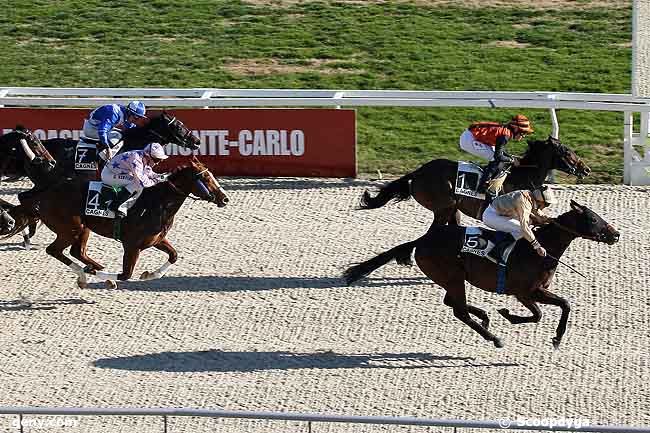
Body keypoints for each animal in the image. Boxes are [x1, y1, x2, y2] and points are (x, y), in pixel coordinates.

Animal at [1, 155, 228, 286]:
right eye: (205, 177)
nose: (225, 198)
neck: (158, 203)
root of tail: (44, 196)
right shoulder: (132, 245)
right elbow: (126, 274)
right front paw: (105, 276)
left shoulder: (155, 240)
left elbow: (174, 255)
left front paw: (149, 274)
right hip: (70, 228)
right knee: (55, 250)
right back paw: (87, 274)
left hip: (83, 228)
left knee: (77, 252)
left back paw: (92, 270)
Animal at [342, 201, 616, 350]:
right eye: (593, 219)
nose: (616, 234)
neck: (540, 250)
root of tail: (423, 240)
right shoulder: (525, 292)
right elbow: (546, 311)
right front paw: (510, 316)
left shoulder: (535, 291)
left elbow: (558, 307)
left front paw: (554, 337)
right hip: (452, 276)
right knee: (459, 310)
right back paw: (494, 337)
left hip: (451, 278)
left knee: (451, 302)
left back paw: (484, 317)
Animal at [356, 135, 588, 223]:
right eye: (568, 152)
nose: (586, 169)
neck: (524, 174)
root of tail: (419, 172)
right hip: (443, 207)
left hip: (451, 208)